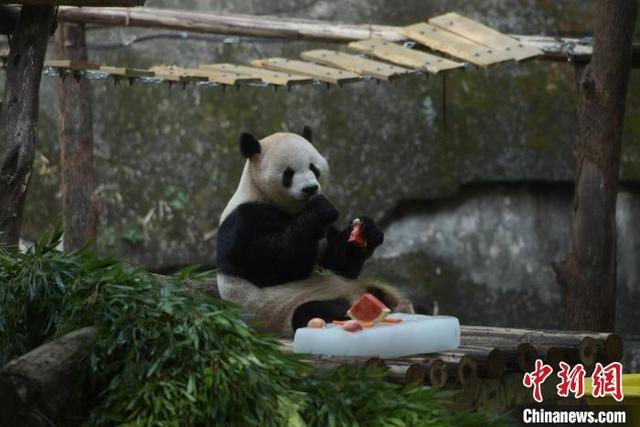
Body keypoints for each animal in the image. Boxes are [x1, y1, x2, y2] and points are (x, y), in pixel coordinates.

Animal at [218, 127, 412, 338]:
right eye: (288, 173)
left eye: (314, 168)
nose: (310, 188)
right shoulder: (245, 219)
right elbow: (275, 264)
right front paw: (321, 208)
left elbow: (336, 265)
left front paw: (368, 231)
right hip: (281, 310)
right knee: (310, 311)